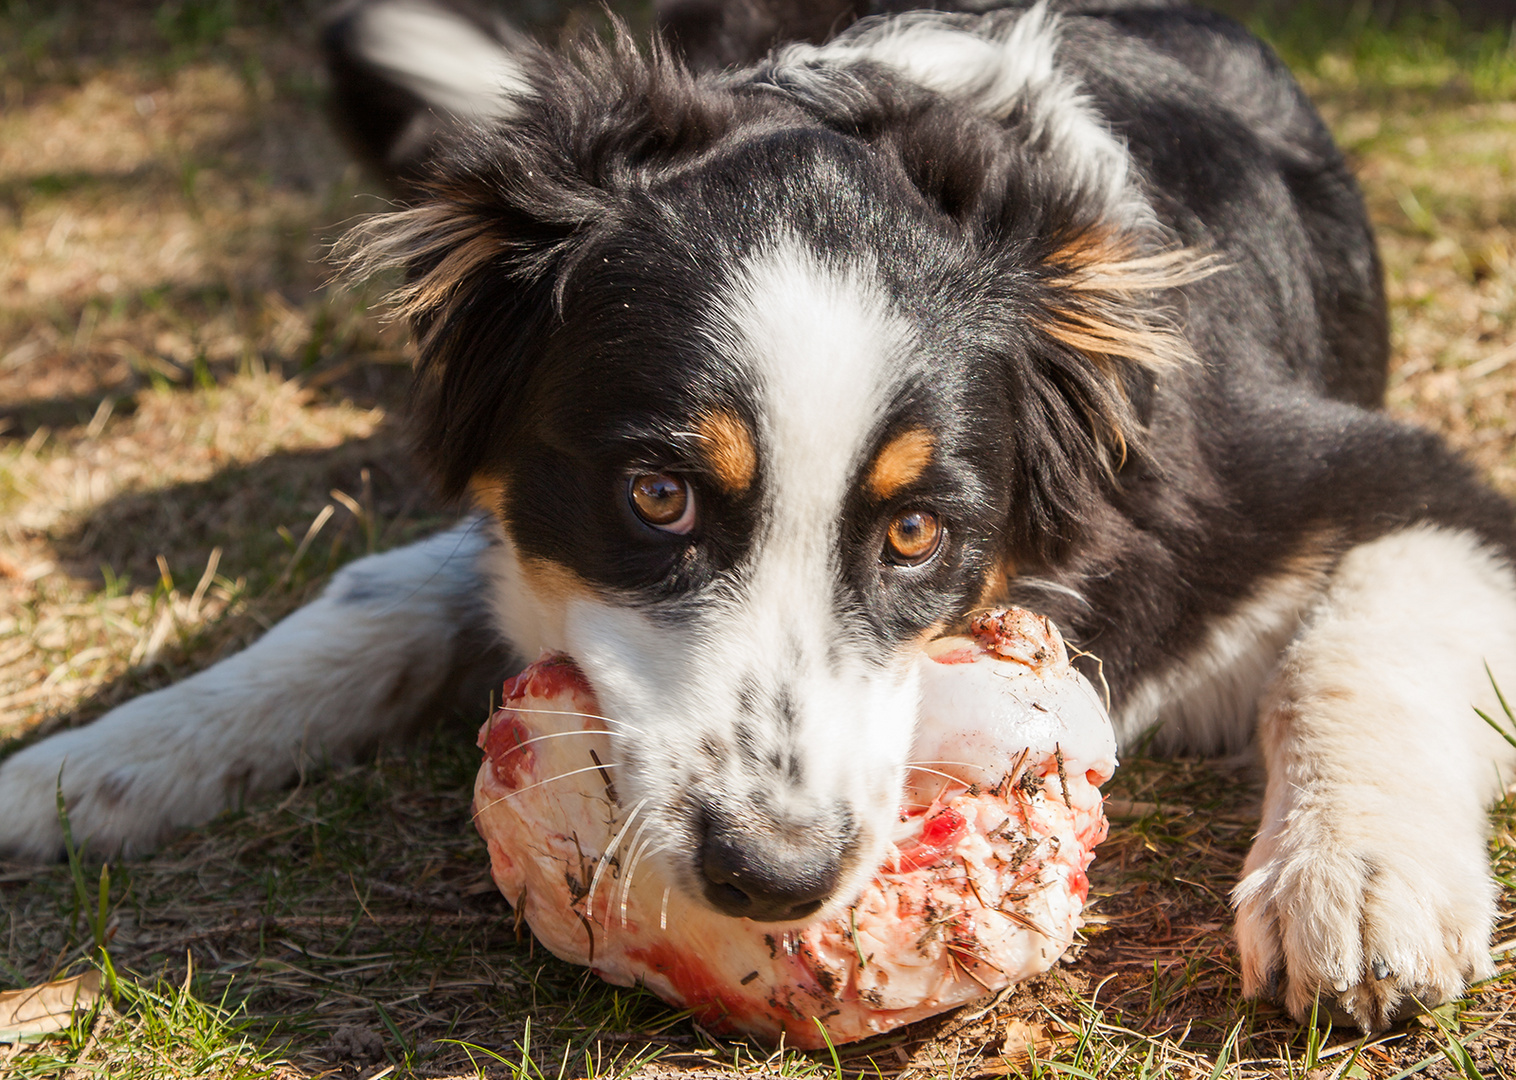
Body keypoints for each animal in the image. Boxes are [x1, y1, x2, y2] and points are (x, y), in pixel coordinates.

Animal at [2, 0, 1516, 1031]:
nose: (773, 879)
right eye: (658, 495)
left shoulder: (1389, 475)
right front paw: (95, 765)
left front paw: (1360, 883)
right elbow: (369, 599)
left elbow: (1358, 640)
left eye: (916, 534)